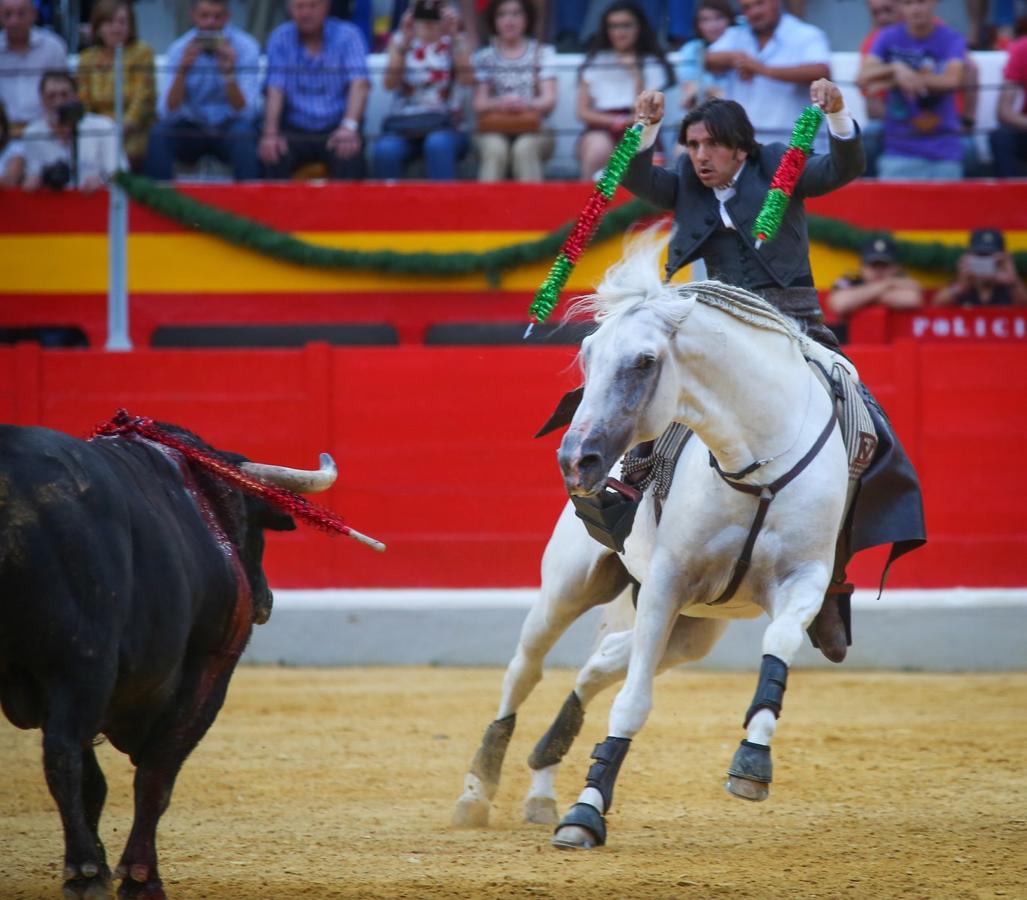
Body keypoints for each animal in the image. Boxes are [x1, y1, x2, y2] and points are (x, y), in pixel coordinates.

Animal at [0, 423, 306, 900]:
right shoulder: (209, 666)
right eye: (252, 524)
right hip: (83, 662)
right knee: (62, 752)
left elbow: (97, 784)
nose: (266, 599)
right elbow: (157, 773)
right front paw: (141, 878)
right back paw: (84, 872)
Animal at [453, 228, 854, 846]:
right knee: (527, 666)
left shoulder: (806, 578)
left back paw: (542, 785)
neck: (754, 464)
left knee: (598, 664)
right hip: (571, 588)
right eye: (587, 355)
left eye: (644, 361)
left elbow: (780, 644)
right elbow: (633, 702)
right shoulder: (668, 582)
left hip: (693, 631)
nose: (576, 460)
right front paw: (586, 813)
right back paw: (478, 789)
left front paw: (753, 761)